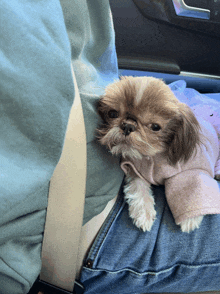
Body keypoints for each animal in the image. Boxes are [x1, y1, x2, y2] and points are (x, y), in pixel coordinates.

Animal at [97, 77, 220, 233]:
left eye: (155, 127)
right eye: (112, 113)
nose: (128, 125)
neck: (154, 158)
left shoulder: (189, 173)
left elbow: (192, 190)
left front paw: (190, 219)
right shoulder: (136, 169)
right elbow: (139, 188)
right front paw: (143, 212)